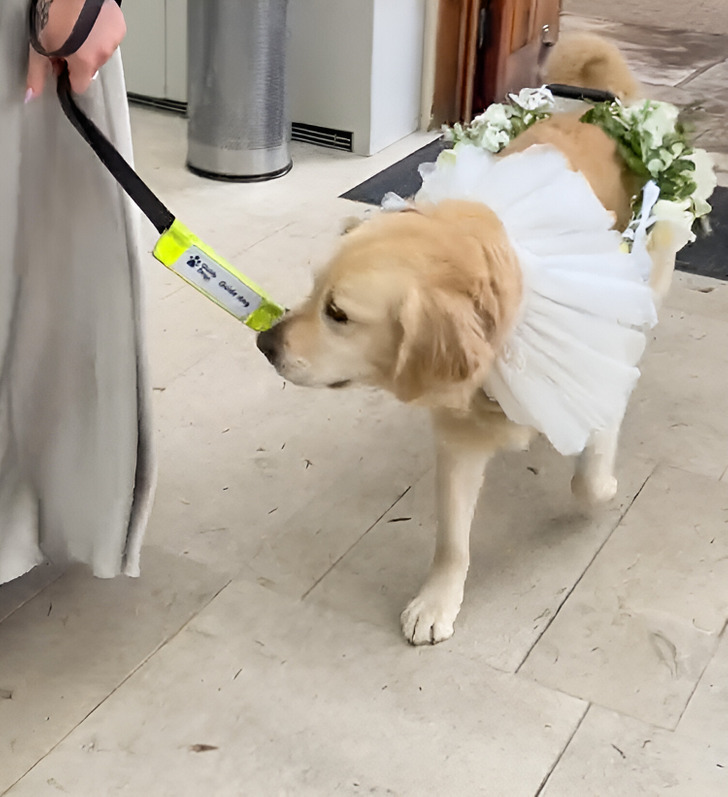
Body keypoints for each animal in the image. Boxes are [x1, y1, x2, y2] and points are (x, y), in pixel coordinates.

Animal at [256, 38, 684, 648]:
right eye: (313, 291)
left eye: (338, 313)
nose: (264, 342)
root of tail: (599, 115)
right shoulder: (458, 437)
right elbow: (452, 539)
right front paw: (438, 601)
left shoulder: (597, 373)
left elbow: (589, 477)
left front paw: (602, 486)